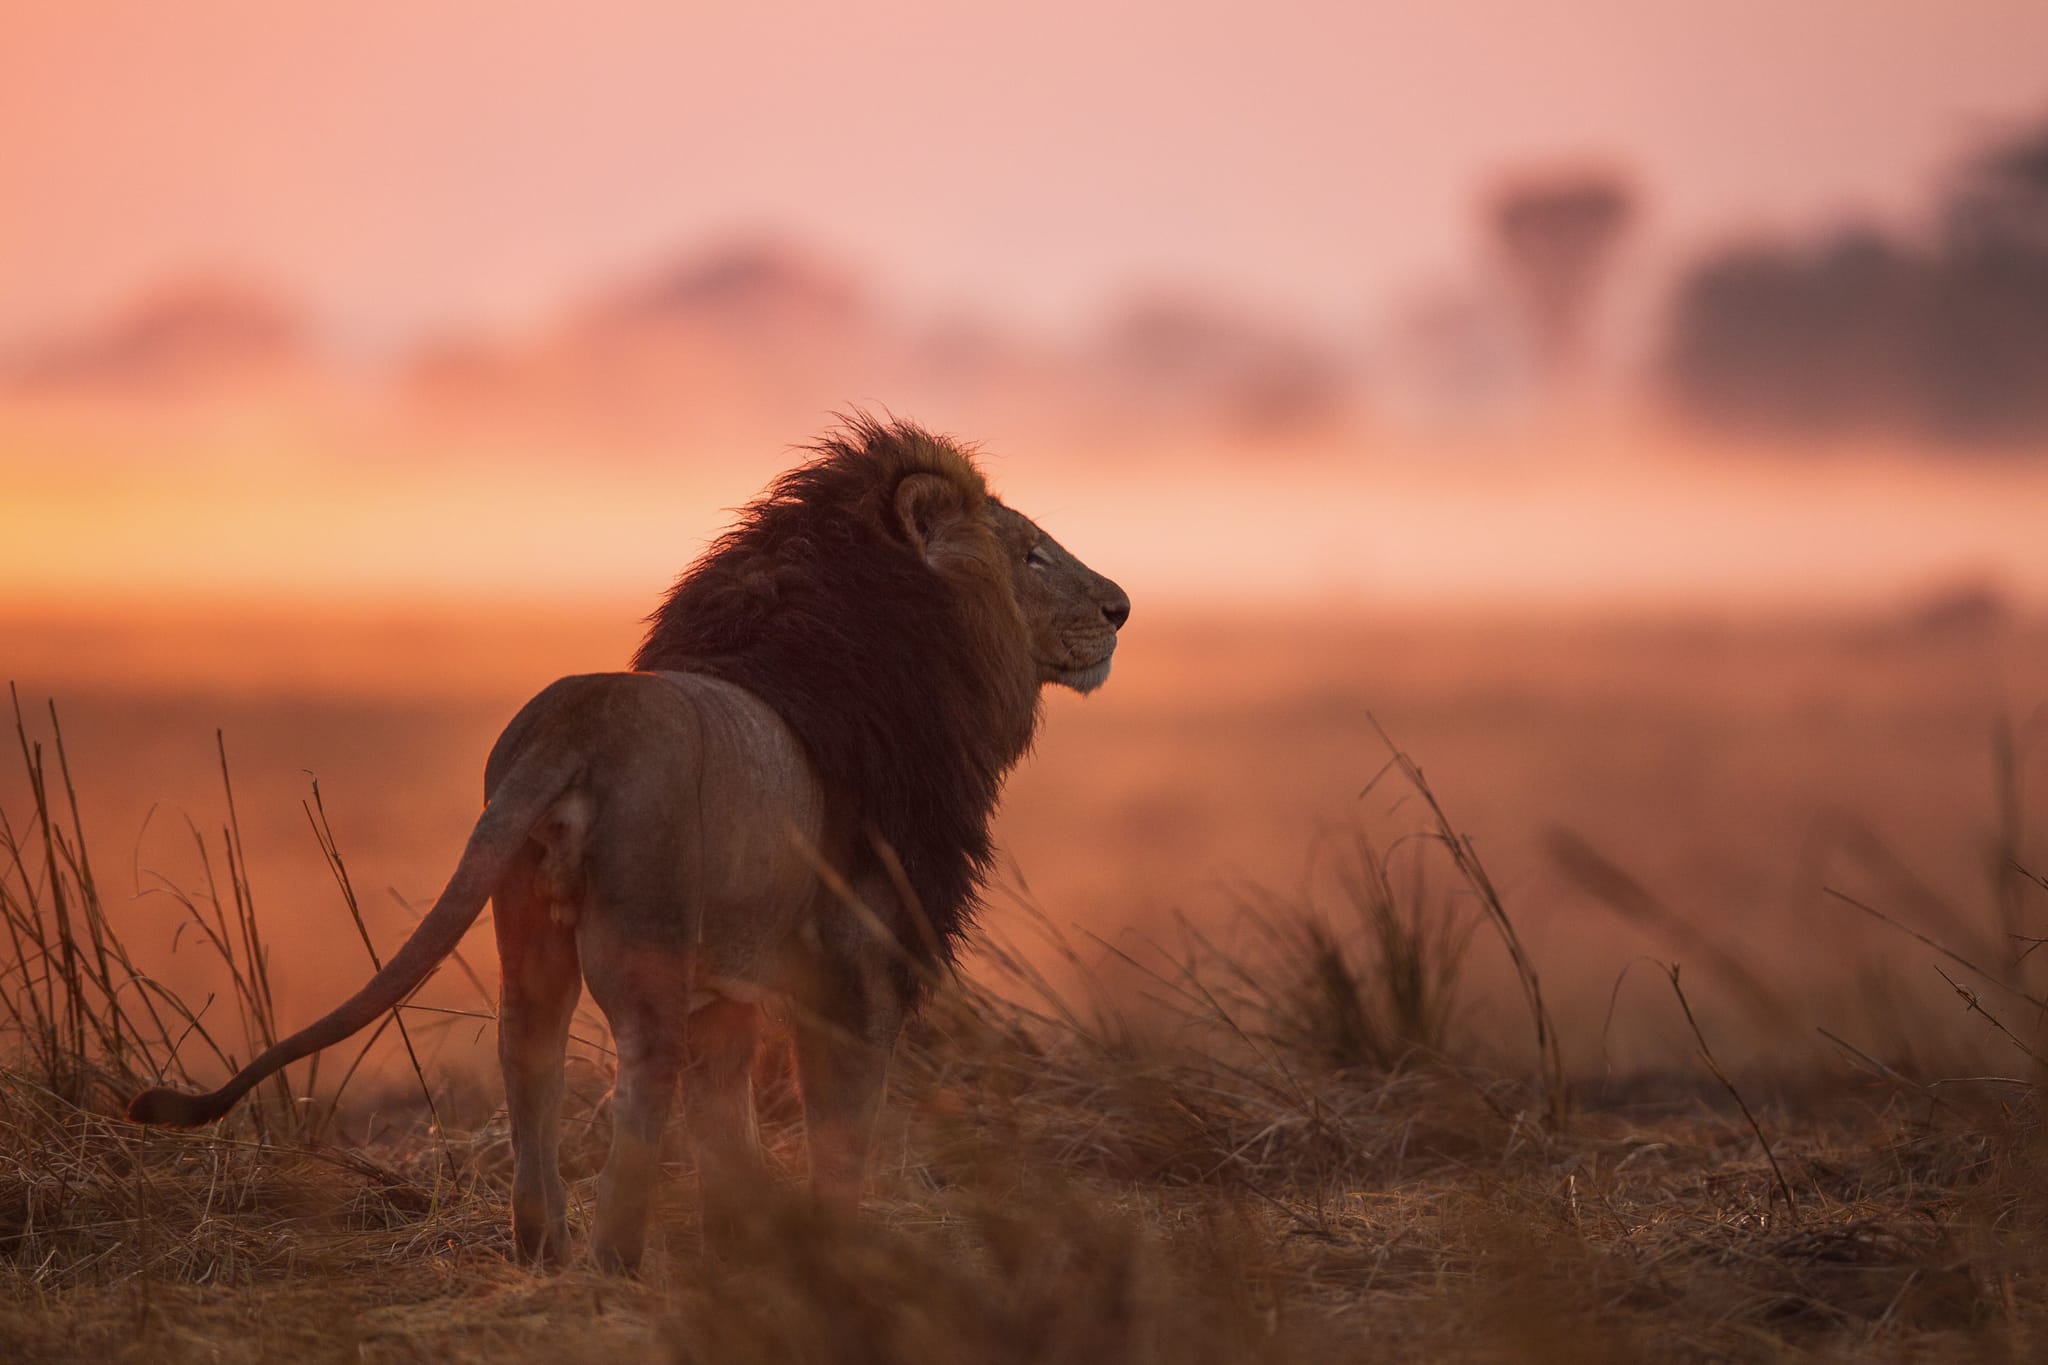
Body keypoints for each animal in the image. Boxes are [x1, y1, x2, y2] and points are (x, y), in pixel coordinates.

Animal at [126, 417, 1129, 1271]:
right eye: (1032, 553)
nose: (1120, 606)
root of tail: (571, 728)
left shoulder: (735, 984)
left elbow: (728, 1118)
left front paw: (747, 1238)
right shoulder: (859, 966)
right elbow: (839, 1123)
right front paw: (832, 1244)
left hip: (530, 924)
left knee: (527, 1050)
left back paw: (542, 1245)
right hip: (644, 932)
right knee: (644, 1076)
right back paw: (614, 1258)